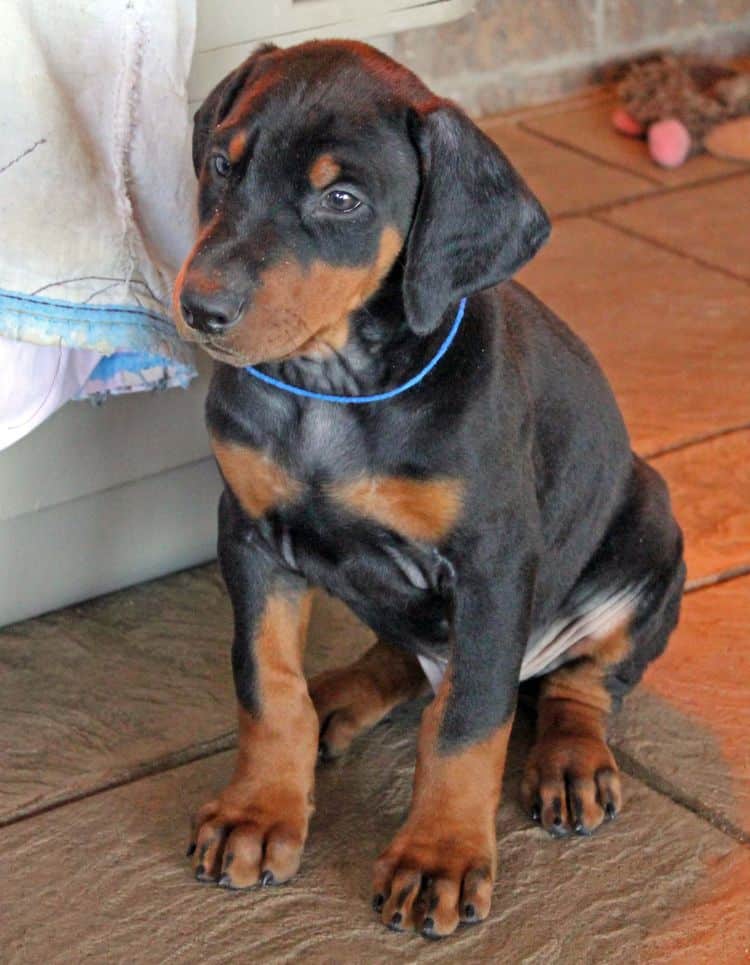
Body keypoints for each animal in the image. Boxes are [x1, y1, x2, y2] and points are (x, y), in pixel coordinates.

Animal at [175, 41, 688, 936]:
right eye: (221, 164)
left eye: (342, 198)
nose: (200, 307)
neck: (336, 385)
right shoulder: (247, 532)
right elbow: (266, 683)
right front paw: (258, 810)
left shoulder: (492, 564)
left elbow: (468, 720)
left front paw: (438, 856)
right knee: (406, 656)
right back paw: (339, 696)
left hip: (652, 534)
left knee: (581, 680)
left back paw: (570, 759)